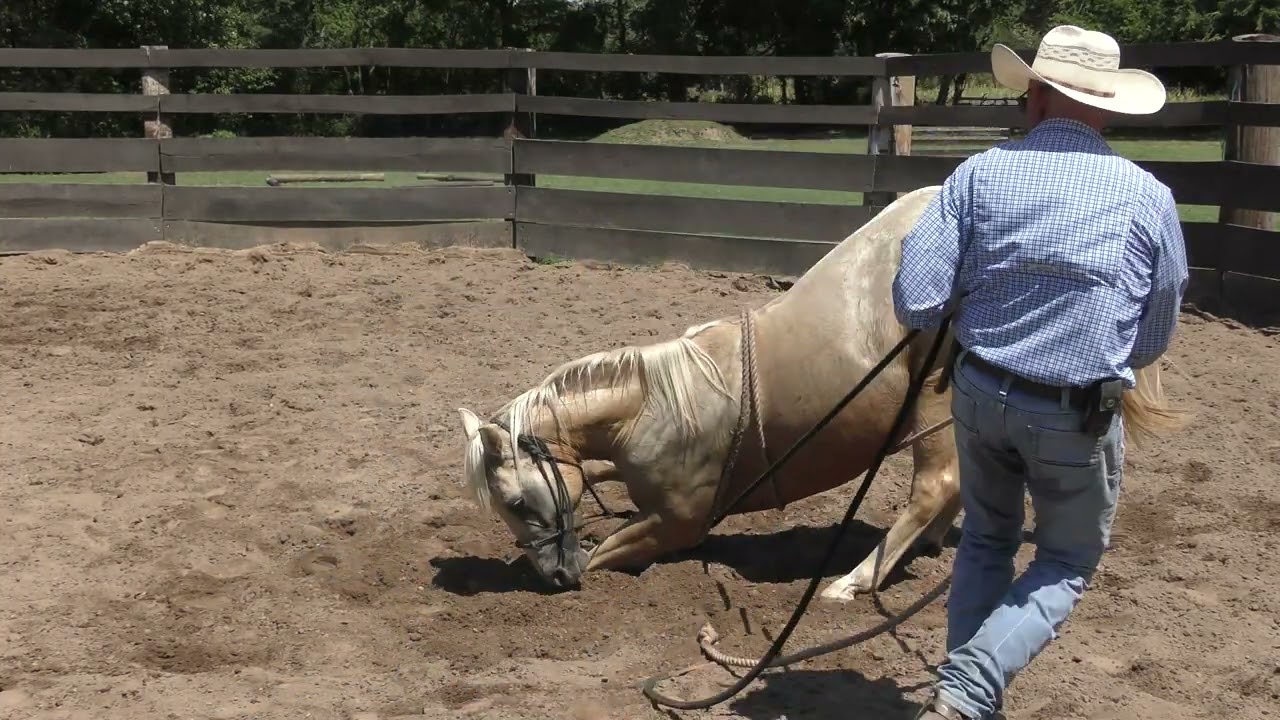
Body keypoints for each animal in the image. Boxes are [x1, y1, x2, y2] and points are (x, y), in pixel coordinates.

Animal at [455, 185, 1181, 600]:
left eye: (516, 500)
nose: (552, 577)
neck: (655, 408)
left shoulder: (679, 523)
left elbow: (612, 553)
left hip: (939, 397)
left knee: (936, 485)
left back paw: (857, 580)